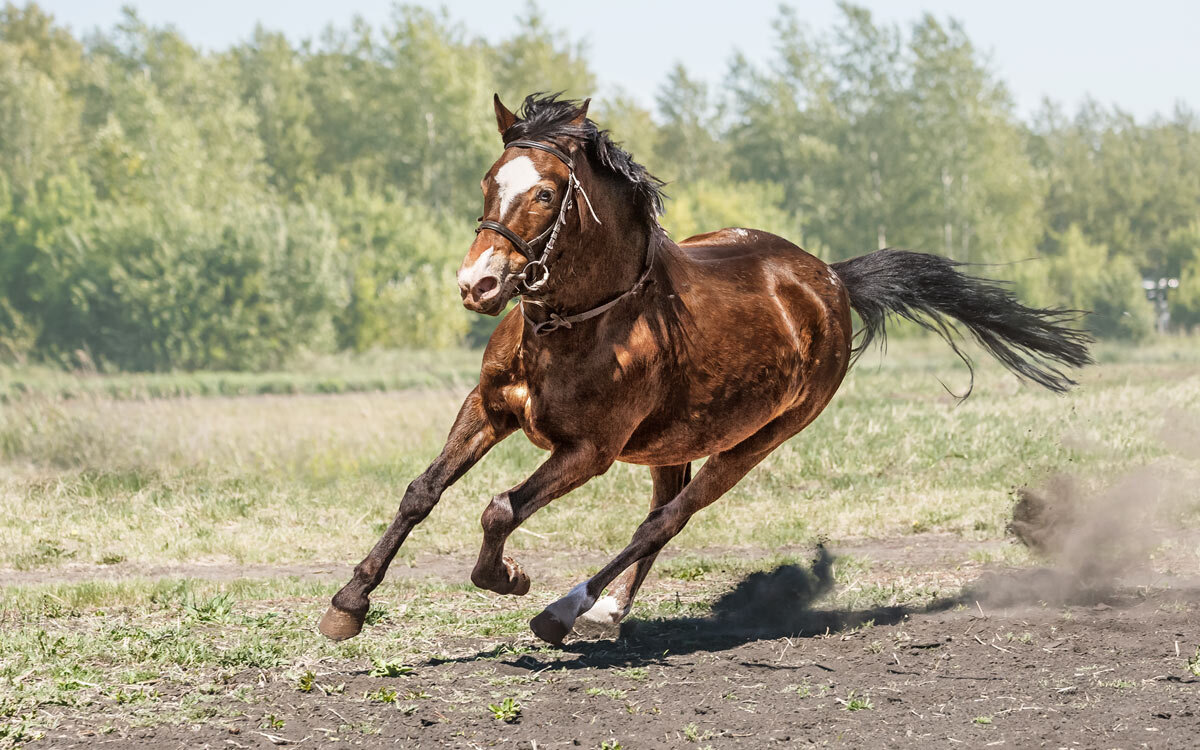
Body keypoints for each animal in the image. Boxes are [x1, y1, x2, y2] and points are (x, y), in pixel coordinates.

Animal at [324, 92, 1094, 643]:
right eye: (490, 181)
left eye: (545, 192)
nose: (477, 284)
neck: (578, 323)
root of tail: (831, 281)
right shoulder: (490, 409)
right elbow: (422, 493)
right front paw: (348, 604)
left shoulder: (588, 452)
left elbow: (500, 508)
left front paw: (508, 577)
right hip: (674, 441)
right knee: (661, 513)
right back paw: (603, 611)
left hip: (757, 441)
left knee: (666, 521)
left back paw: (568, 611)